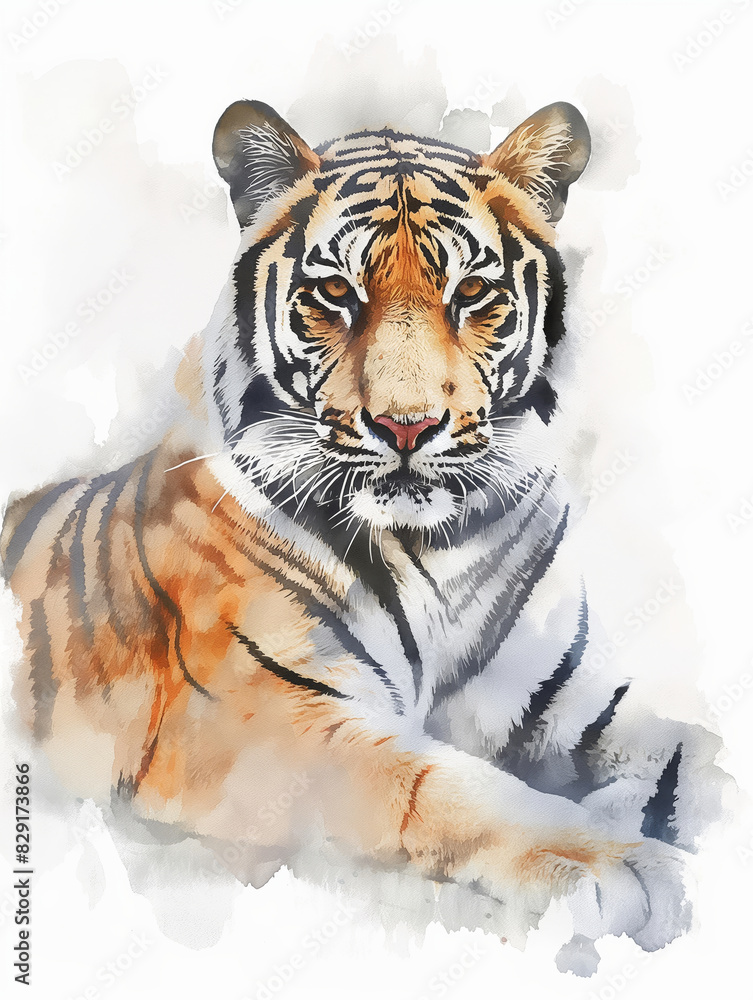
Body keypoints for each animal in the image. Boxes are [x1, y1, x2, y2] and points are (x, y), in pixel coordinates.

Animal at [1, 97, 726, 974]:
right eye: (334, 293)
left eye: (471, 291)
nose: (405, 426)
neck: (443, 547)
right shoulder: (259, 722)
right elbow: (442, 784)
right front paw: (620, 863)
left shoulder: (575, 699)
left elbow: (694, 751)